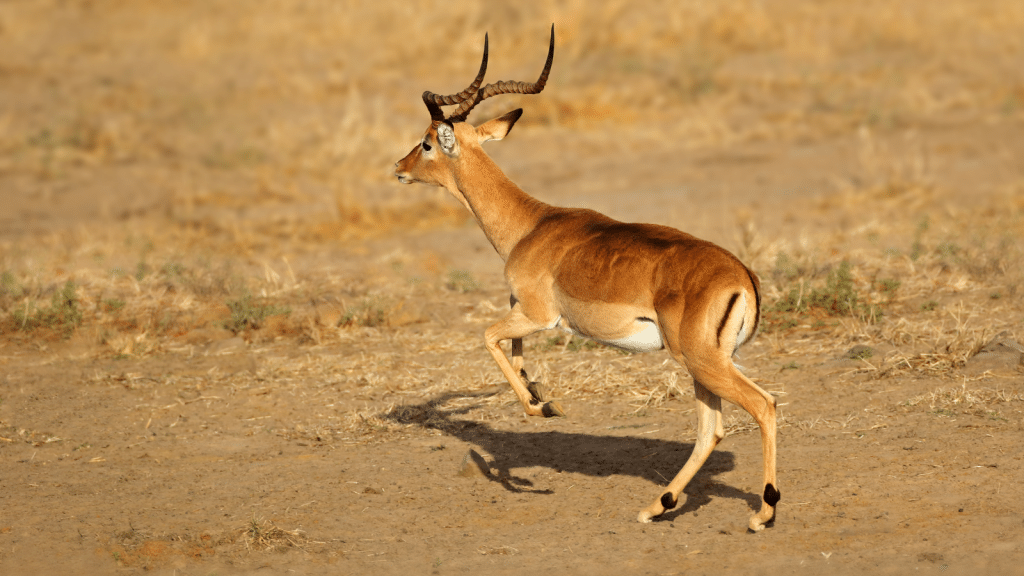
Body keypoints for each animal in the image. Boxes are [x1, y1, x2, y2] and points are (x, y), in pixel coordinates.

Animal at [393, 26, 780, 531]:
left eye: (426, 143)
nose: (398, 168)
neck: (531, 225)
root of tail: (743, 277)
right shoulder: (524, 312)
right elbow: (515, 352)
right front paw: (540, 393)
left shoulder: (537, 315)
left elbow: (489, 338)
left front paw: (541, 408)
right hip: (703, 366)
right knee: (710, 430)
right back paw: (657, 506)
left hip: (702, 362)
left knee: (763, 406)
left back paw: (762, 512)